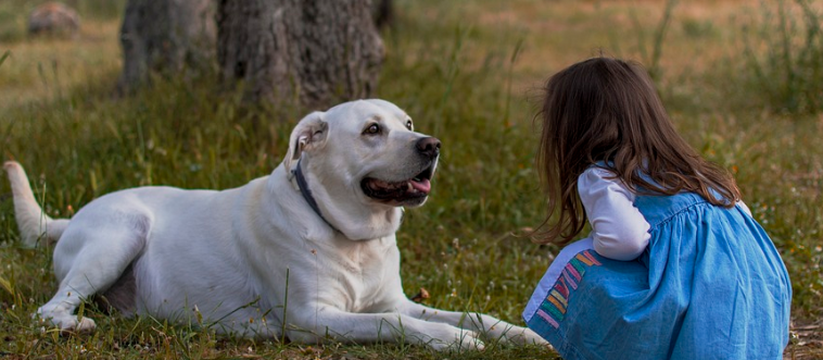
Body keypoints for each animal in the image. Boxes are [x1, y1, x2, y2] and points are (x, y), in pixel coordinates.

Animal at [8, 99, 548, 352]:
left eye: (409, 124)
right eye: (373, 130)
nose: (432, 145)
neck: (352, 237)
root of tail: (71, 217)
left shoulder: (394, 299)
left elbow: (471, 314)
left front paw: (522, 335)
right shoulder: (313, 318)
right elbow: (395, 324)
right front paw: (453, 341)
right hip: (121, 233)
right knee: (48, 309)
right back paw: (74, 324)